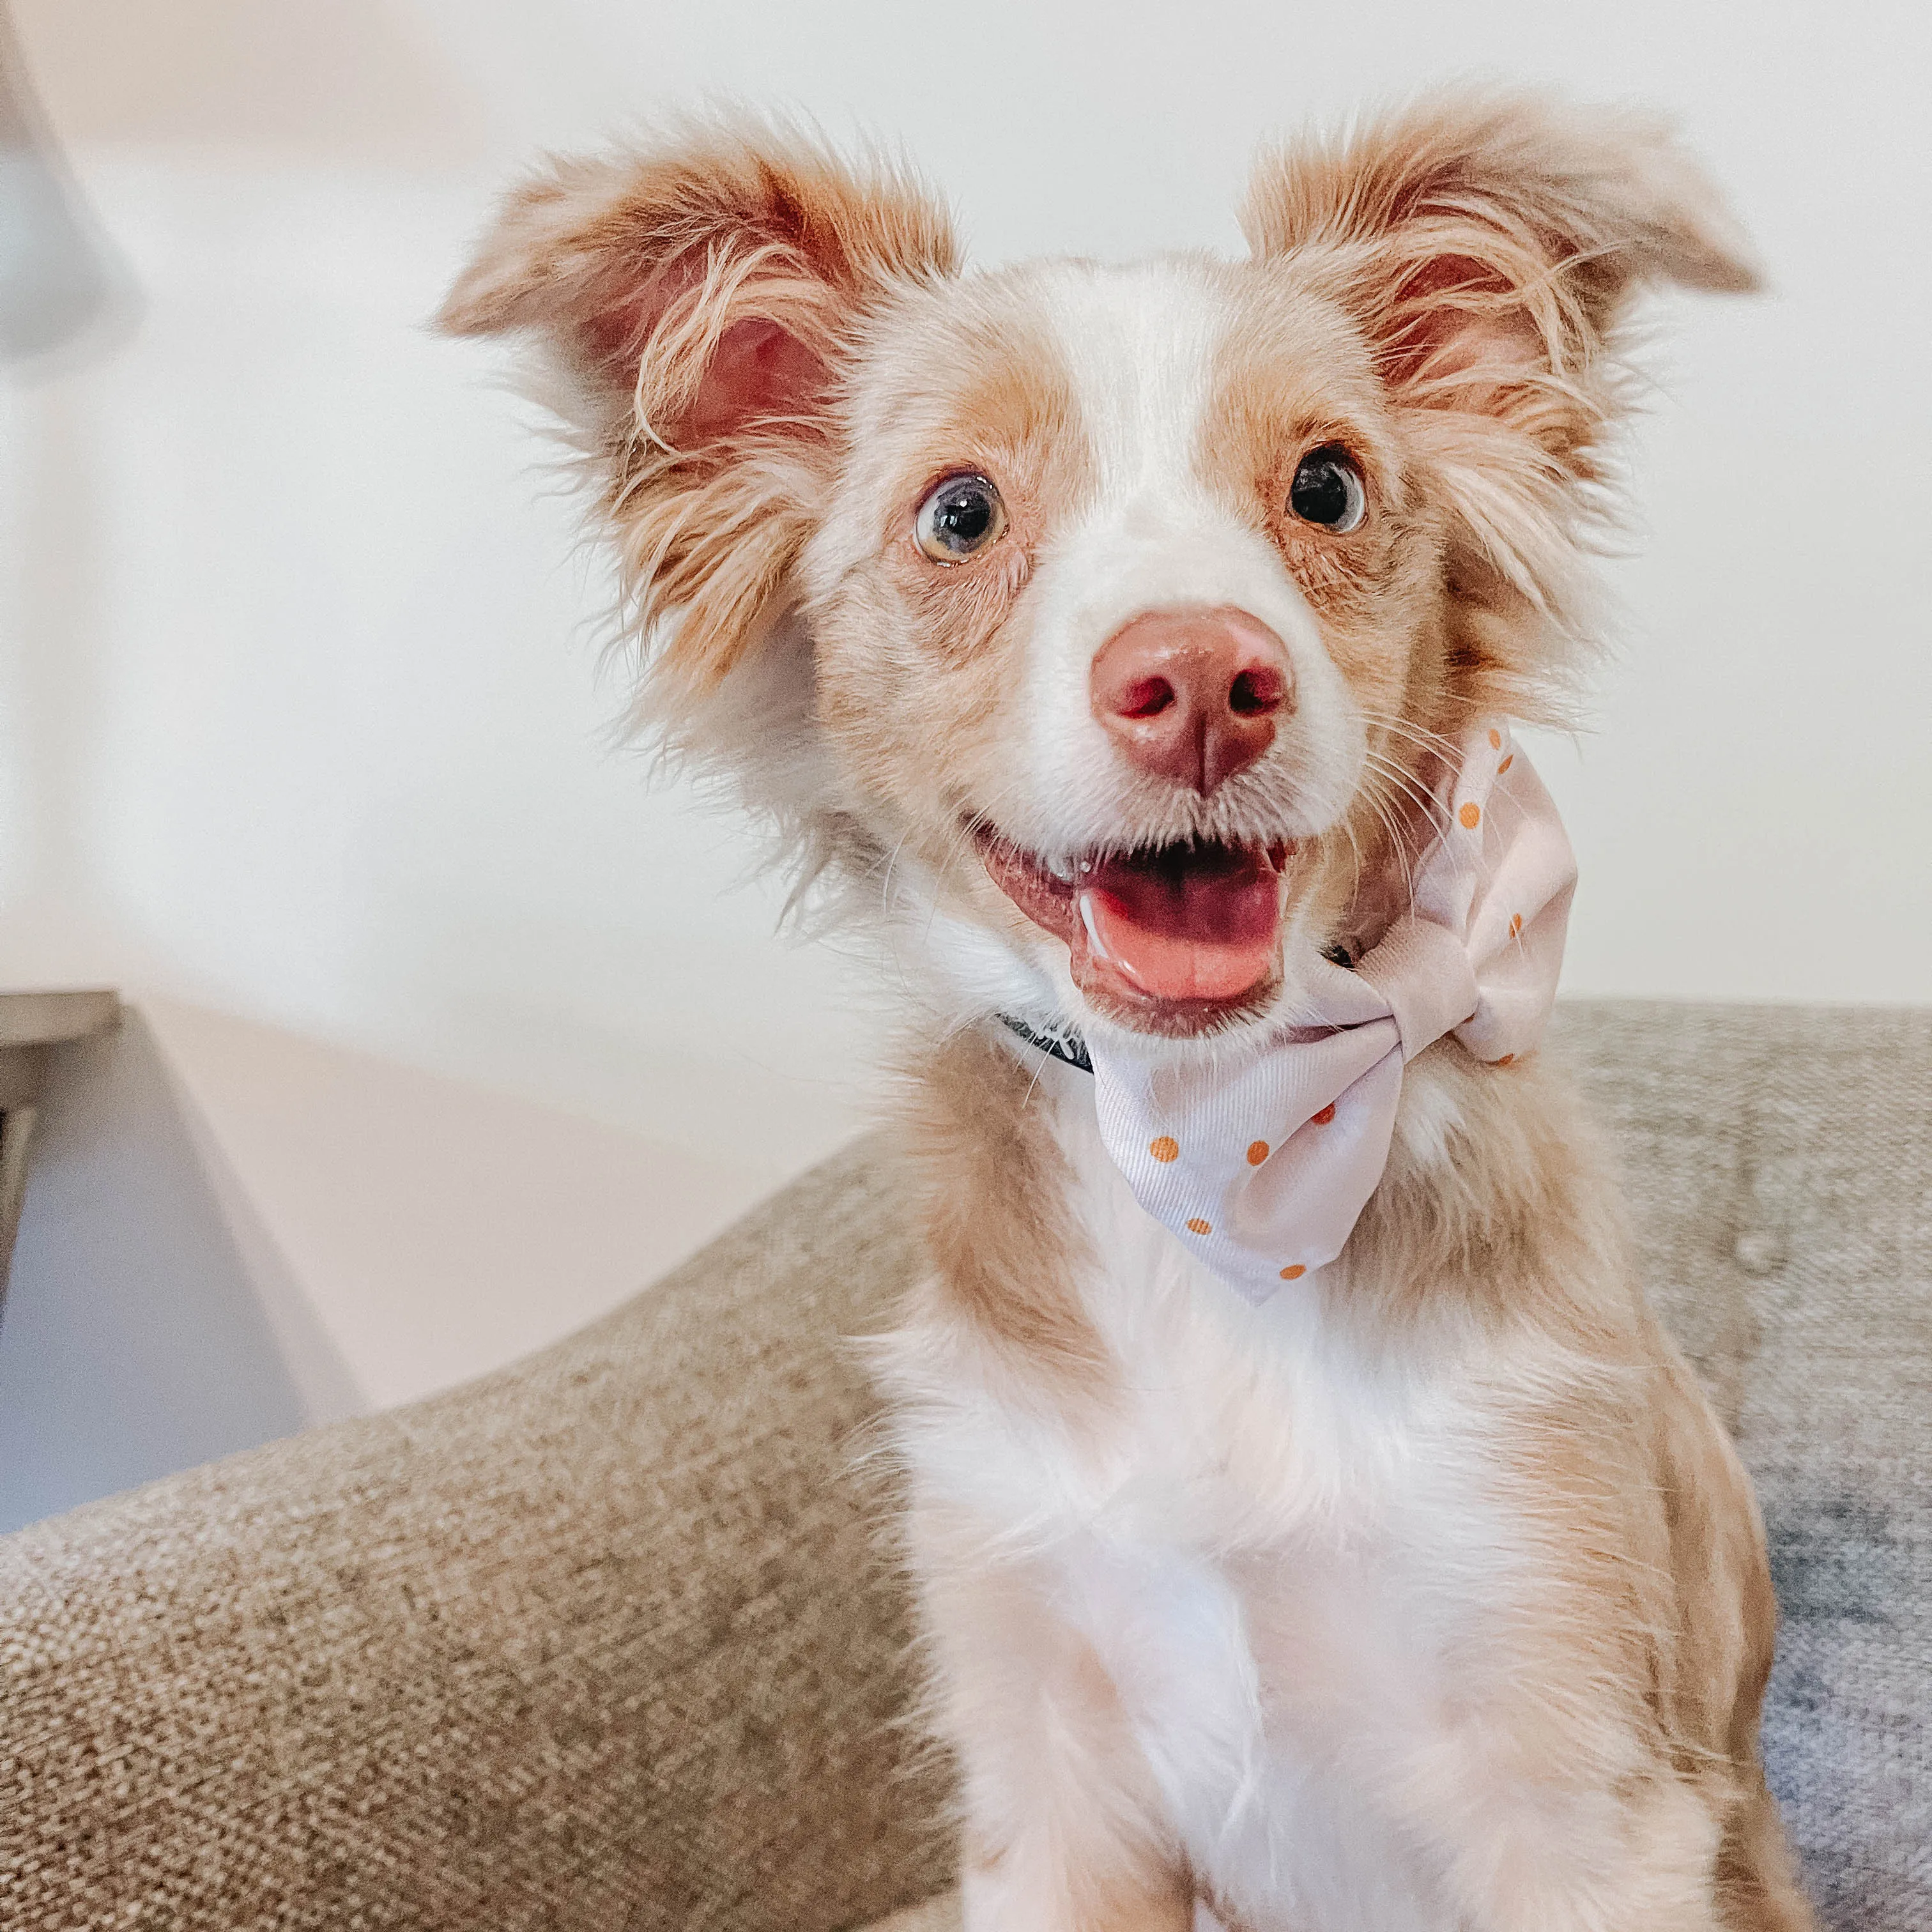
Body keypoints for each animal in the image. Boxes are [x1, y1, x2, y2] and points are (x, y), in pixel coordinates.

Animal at [442, 91, 1808, 1932]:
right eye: (959, 514)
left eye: (1326, 483)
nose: (1208, 682)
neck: (1219, 1147)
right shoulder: (1048, 1772)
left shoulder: (1580, 1772)